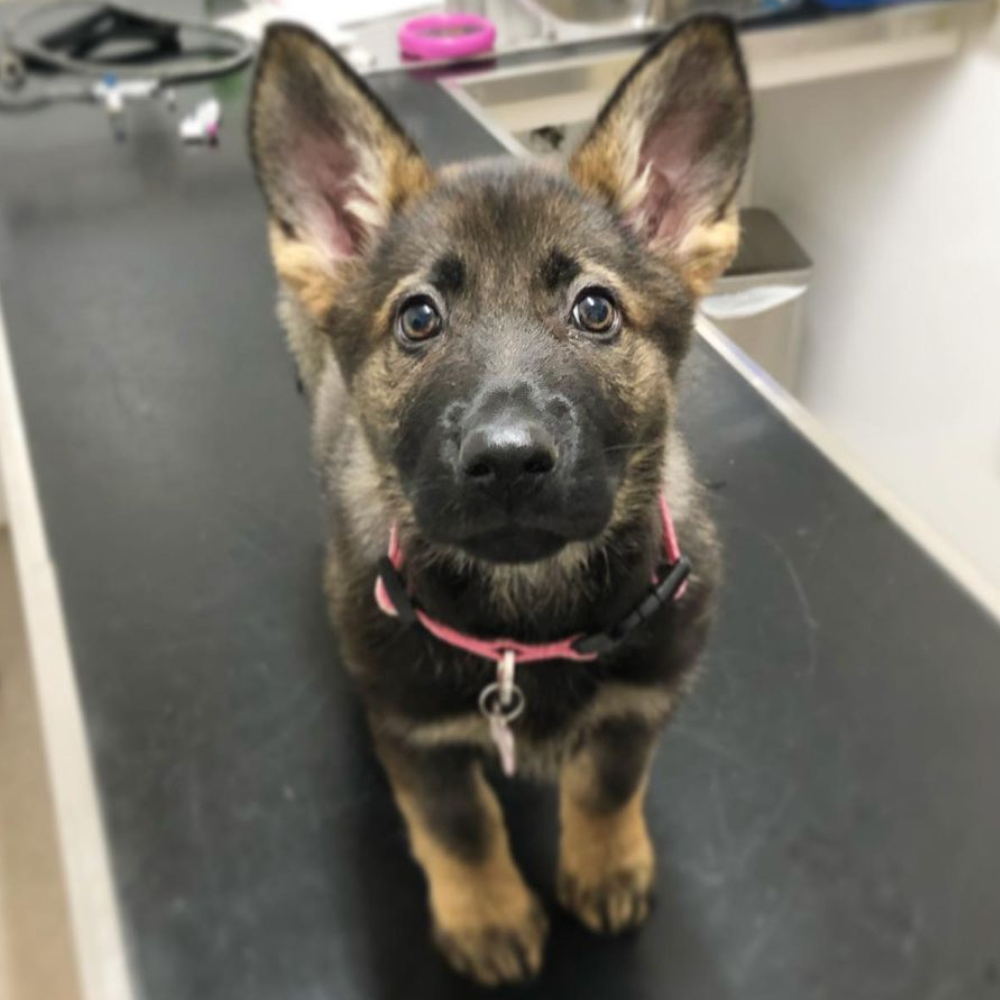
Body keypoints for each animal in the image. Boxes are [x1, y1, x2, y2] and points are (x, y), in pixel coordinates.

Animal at [248, 19, 752, 988]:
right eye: (418, 319)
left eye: (595, 309)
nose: (509, 460)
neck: (530, 620)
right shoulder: (416, 735)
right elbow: (461, 828)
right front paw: (486, 915)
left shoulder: (642, 704)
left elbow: (608, 786)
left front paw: (606, 864)